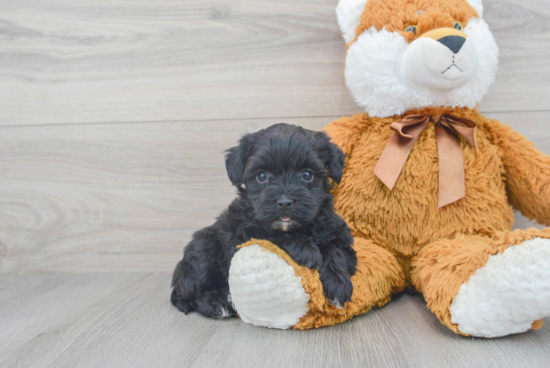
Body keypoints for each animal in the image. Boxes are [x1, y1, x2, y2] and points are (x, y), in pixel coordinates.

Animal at [170, 123, 358, 320]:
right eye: (262, 176)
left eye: (307, 174)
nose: (284, 202)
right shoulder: (245, 230)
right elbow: (271, 234)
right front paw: (307, 250)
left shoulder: (337, 232)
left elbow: (336, 250)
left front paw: (338, 284)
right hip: (202, 248)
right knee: (189, 294)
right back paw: (216, 304)